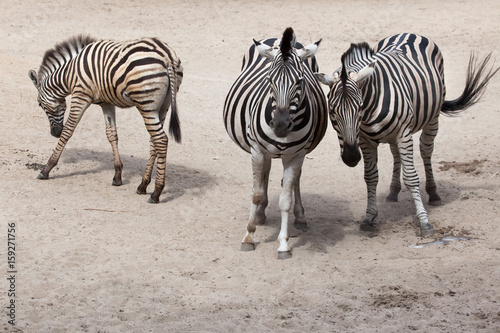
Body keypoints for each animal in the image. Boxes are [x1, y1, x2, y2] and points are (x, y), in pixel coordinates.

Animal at [27, 35, 184, 202]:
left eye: (39, 104)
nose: (54, 133)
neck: (69, 74)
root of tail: (166, 55)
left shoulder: (80, 95)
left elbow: (68, 130)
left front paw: (46, 169)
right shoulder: (107, 103)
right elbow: (111, 134)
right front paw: (117, 175)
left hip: (146, 104)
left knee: (161, 140)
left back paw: (156, 192)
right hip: (163, 106)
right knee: (154, 141)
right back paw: (142, 185)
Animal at [224, 27, 328, 258]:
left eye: (299, 81)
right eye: (269, 80)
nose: (280, 125)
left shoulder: (296, 155)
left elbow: (285, 200)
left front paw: (283, 244)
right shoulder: (257, 150)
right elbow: (255, 194)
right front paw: (248, 236)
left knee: (295, 180)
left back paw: (300, 217)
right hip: (262, 150)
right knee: (266, 172)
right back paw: (260, 213)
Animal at [314, 33, 498, 236]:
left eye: (360, 107)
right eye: (332, 111)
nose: (351, 157)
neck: (369, 108)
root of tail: (408, 33)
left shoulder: (403, 134)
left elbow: (411, 177)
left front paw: (424, 222)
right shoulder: (365, 140)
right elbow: (370, 177)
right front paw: (369, 217)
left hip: (431, 119)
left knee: (426, 151)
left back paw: (433, 193)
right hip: (394, 135)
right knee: (396, 154)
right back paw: (393, 191)